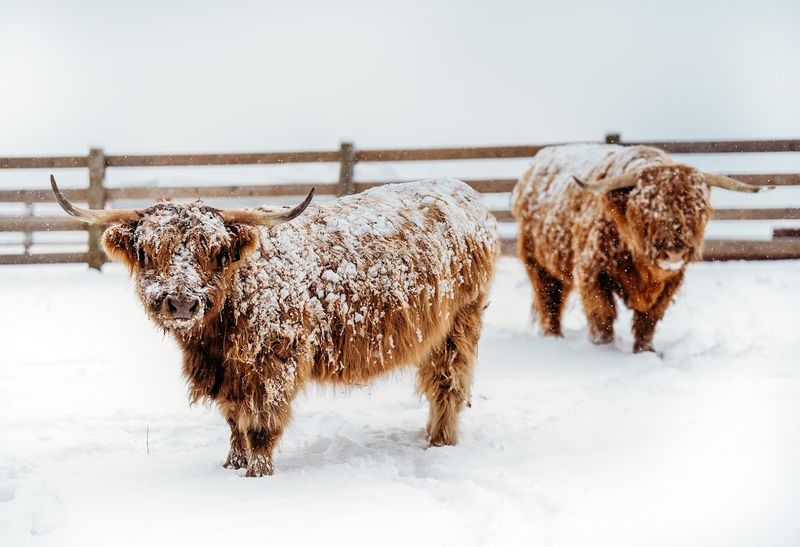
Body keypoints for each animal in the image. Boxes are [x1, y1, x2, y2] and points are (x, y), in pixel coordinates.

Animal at [51, 176, 499, 476]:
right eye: (148, 250)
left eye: (214, 250)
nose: (181, 302)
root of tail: (466, 193)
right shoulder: (227, 372)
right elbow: (234, 421)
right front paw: (231, 465)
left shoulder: (273, 362)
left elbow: (261, 425)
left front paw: (258, 474)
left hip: (460, 321)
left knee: (448, 384)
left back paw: (439, 443)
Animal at [511, 144, 771, 353]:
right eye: (648, 211)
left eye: (697, 209)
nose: (674, 251)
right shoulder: (592, 273)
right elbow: (602, 314)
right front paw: (603, 349)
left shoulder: (670, 283)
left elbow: (648, 320)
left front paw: (645, 351)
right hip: (538, 263)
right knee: (549, 301)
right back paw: (553, 338)